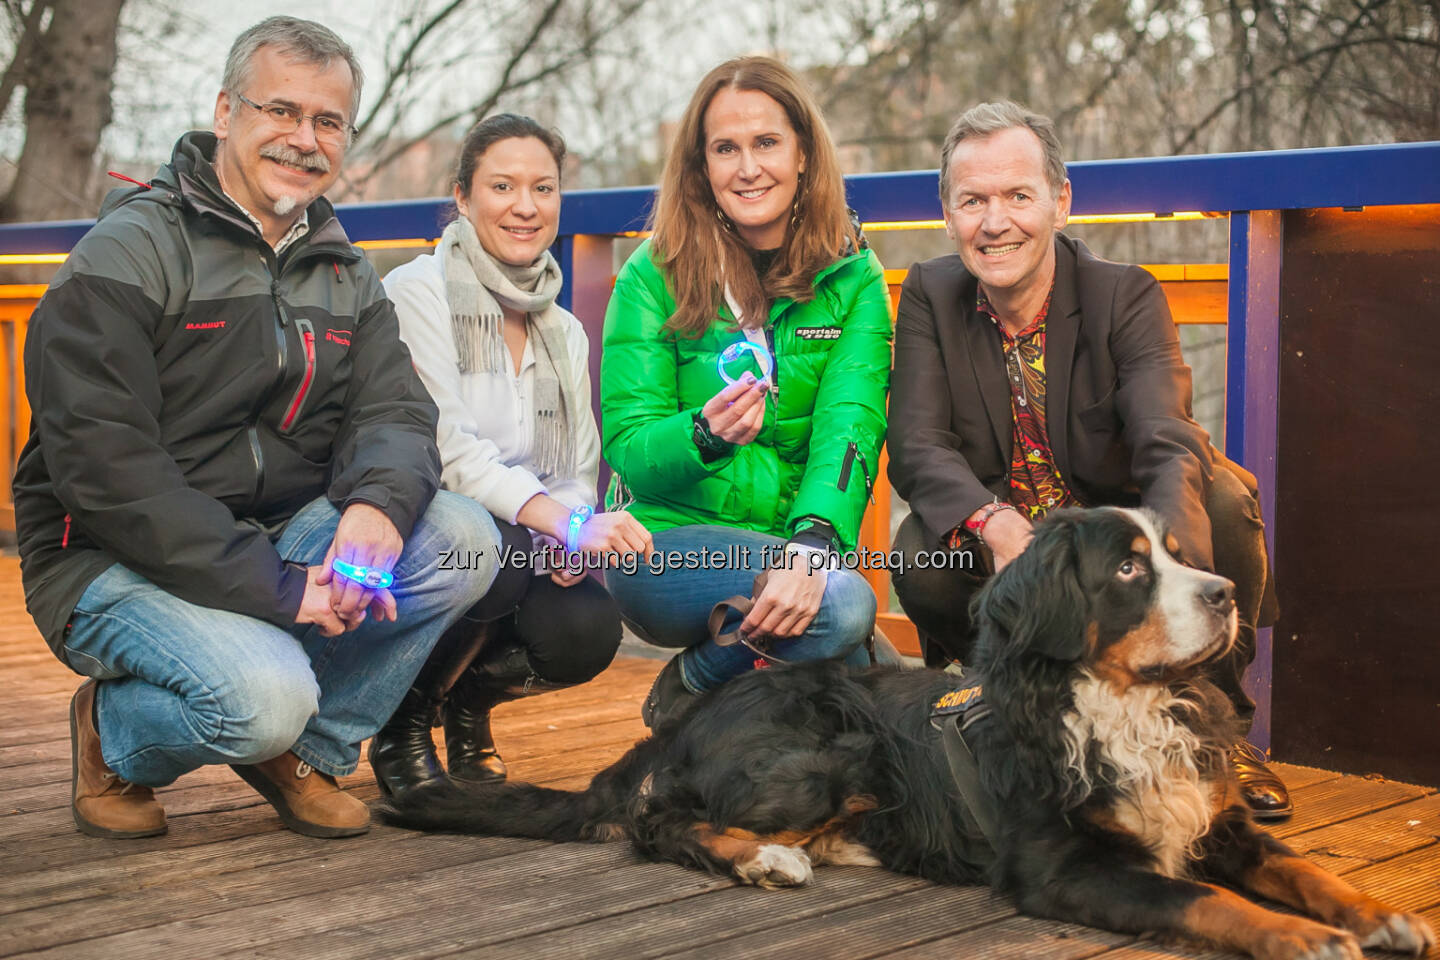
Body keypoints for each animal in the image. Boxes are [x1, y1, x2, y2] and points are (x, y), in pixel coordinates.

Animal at [380, 506, 1428, 955]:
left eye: (1177, 553)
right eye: (1130, 569)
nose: (1222, 595)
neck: (1118, 705)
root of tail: (698, 715)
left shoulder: (1215, 821)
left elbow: (1304, 869)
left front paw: (1379, 916)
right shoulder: (1066, 866)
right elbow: (1198, 899)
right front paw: (1300, 941)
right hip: (830, 745)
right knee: (657, 822)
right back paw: (767, 857)